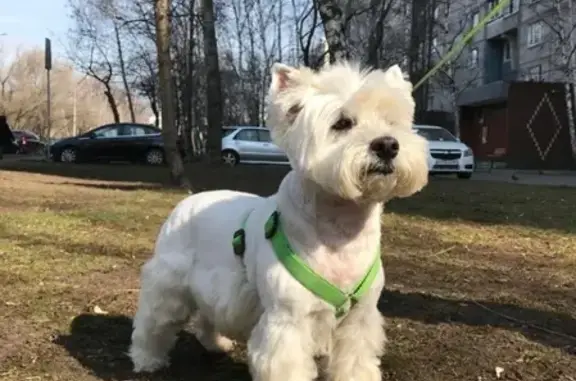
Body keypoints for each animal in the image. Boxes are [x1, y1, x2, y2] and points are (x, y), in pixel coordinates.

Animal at [129, 60, 428, 380]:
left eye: (391, 122)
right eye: (342, 123)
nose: (387, 145)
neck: (341, 229)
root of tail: (186, 201)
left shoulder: (359, 320)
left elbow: (355, 363)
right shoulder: (288, 320)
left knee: (208, 316)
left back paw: (217, 343)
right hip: (169, 284)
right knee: (152, 322)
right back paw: (147, 360)